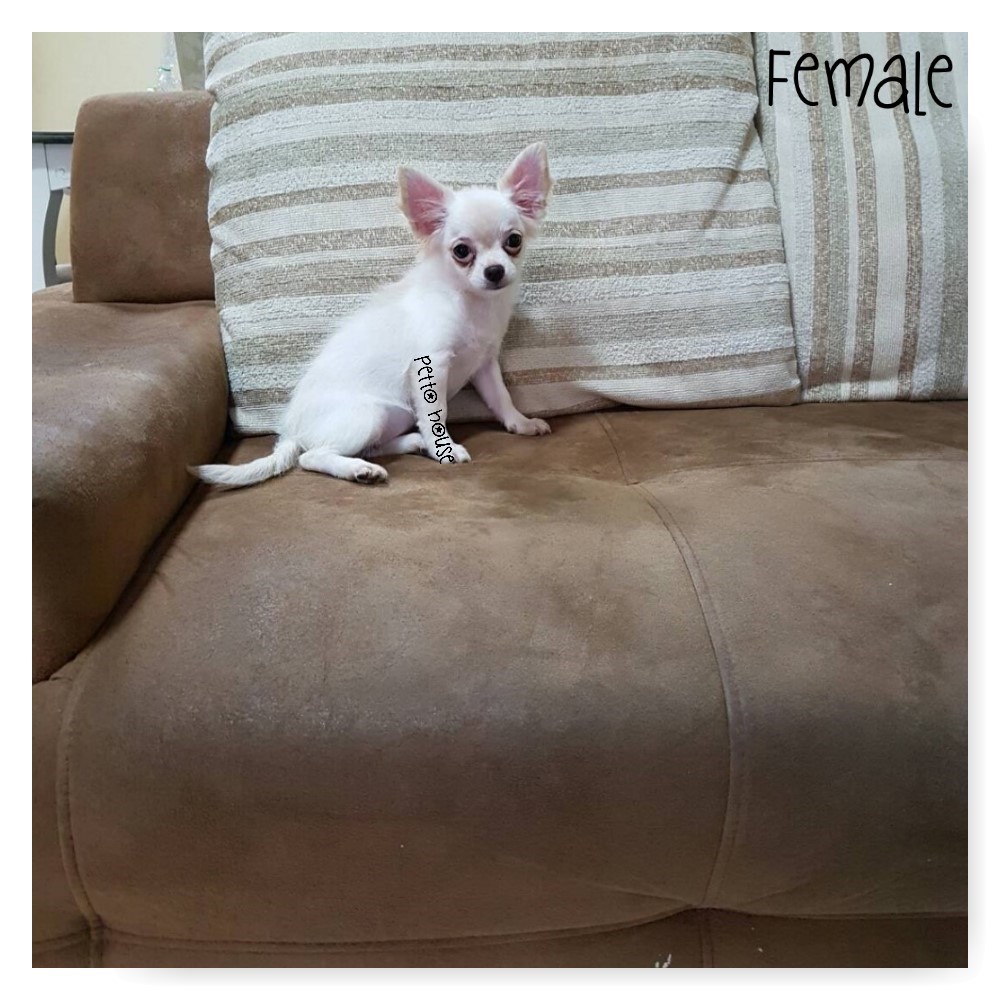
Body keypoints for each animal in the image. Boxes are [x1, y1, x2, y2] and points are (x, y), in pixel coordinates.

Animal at [193, 143, 553, 489]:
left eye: (514, 241)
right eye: (461, 251)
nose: (495, 271)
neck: (471, 302)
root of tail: (291, 432)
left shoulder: (485, 363)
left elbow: (500, 397)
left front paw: (520, 423)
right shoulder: (432, 365)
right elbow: (436, 415)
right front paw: (445, 449)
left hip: (390, 416)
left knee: (371, 446)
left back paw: (409, 445)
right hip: (367, 415)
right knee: (312, 457)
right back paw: (360, 469)